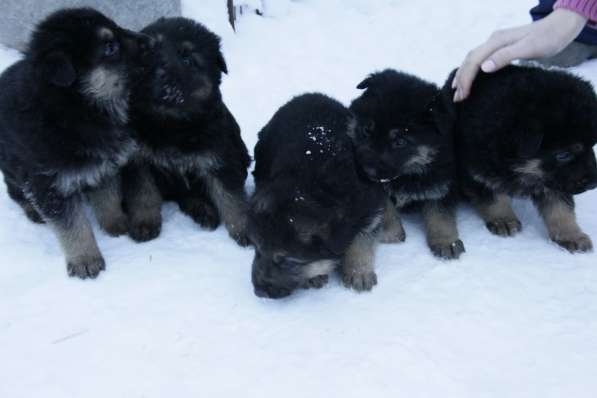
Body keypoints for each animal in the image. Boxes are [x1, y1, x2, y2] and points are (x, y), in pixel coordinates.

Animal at [0, 7, 151, 278]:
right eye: (110, 47)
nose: (152, 41)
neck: (78, 109)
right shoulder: (49, 184)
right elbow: (73, 226)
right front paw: (85, 259)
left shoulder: (104, 164)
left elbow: (108, 198)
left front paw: (116, 225)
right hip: (12, 168)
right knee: (15, 191)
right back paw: (31, 209)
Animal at [248, 93, 384, 298]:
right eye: (257, 249)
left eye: (287, 261)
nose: (259, 292)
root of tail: (305, 95)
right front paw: (314, 276)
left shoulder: (371, 208)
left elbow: (362, 239)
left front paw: (358, 271)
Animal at [346, 70, 464, 260]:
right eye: (366, 130)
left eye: (400, 142)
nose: (366, 170)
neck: (406, 173)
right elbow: (386, 207)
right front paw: (391, 233)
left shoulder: (441, 181)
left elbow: (440, 213)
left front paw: (446, 242)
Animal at [448, 65, 596, 252]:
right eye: (564, 154)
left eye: (592, 145)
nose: (593, 184)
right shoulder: (476, 169)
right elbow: (493, 196)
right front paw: (504, 219)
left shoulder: (555, 180)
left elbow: (561, 207)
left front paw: (571, 235)